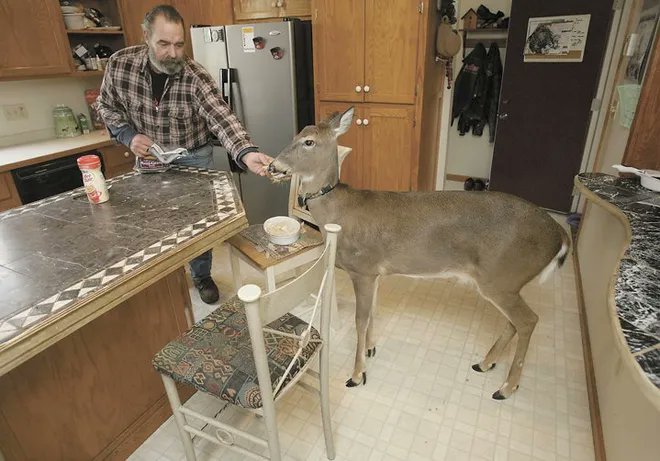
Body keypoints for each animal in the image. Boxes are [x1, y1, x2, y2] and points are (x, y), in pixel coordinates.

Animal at [267, 107, 570, 400]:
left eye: (308, 141)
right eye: (297, 134)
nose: (273, 166)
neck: (338, 214)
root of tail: (560, 234)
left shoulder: (363, 268)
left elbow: (360, 320)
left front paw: (357, 375)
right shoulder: (376, 273)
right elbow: (373, 311)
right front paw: (371, 349)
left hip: (501, 278)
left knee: (528, 320)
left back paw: (506, 388)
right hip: (508, 283)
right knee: (515, 322)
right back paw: (485, 364)